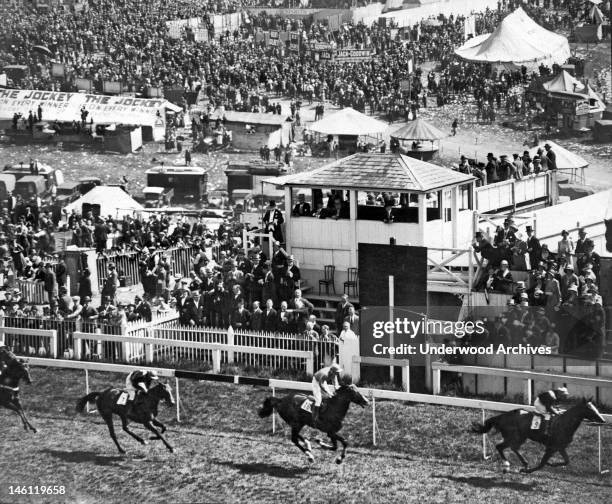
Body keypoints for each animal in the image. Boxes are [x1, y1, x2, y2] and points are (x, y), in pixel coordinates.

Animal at [470, 398, 604, 472]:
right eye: (590, 409)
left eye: (595, 407)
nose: (602, 419)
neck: (564, 423)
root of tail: (502, 416)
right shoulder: (551, 447)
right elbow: (542, 463)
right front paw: (526, 471)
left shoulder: (560, 447)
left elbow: (566, 461)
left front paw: (551, 464)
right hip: (515, 436)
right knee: (503, 447)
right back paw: (512, 464)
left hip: (520, 437)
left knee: (508, 447)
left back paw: (519, 463)